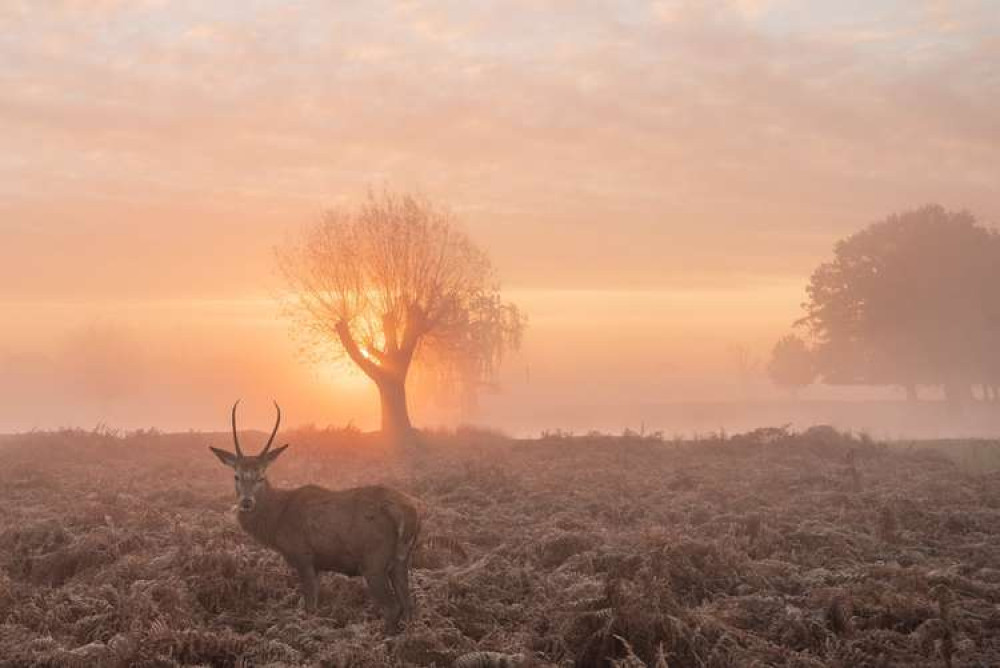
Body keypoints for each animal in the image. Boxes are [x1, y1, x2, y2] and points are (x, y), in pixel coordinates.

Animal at [211, 400, 422, 636]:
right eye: (236, 476)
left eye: (261, 476)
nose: (246, 502)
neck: (276, 522)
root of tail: (409, 511)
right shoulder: (318, 564)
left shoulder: (303, 556)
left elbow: (310, 607)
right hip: (402, 559)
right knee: (409, 605)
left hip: (374, 560)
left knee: (393, 607)